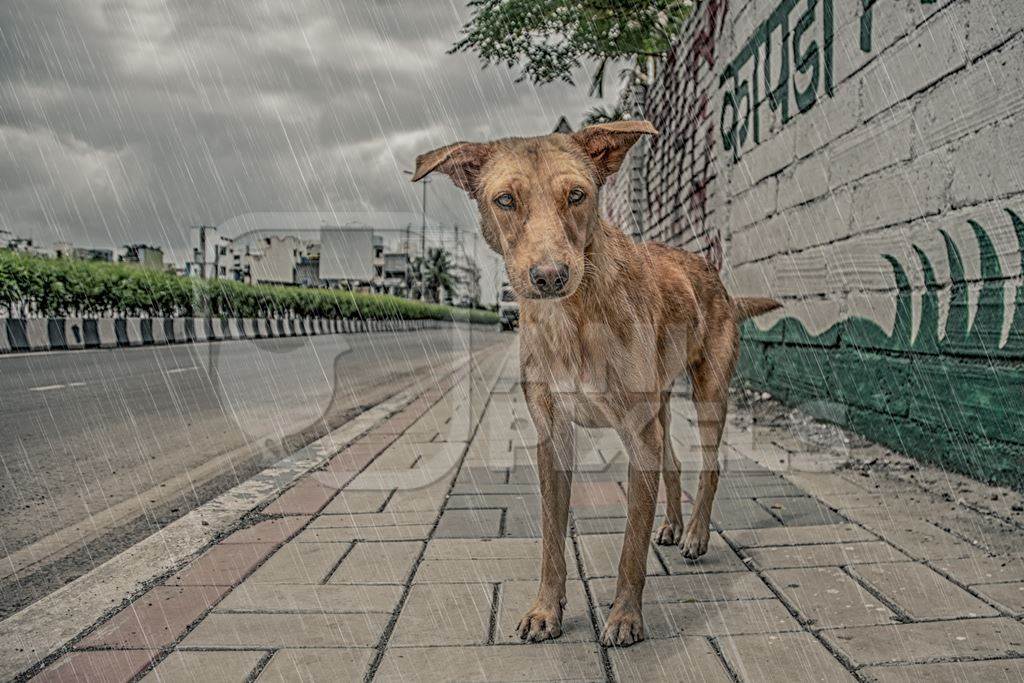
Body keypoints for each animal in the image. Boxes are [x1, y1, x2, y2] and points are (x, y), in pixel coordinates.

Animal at [411, 120, 778, 651]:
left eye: (577, 195)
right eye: (506, 200)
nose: (549, 276)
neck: (572, 317)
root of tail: (715, 276)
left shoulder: (637, 436)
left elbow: (631, 547)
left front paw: (625, 617)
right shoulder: (553, 437)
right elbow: (550, 537)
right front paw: (546, 610)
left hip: (709, 392)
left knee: (708, 467)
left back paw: (694, 534)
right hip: (661, 407)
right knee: (674, 464)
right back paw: (672, 526)